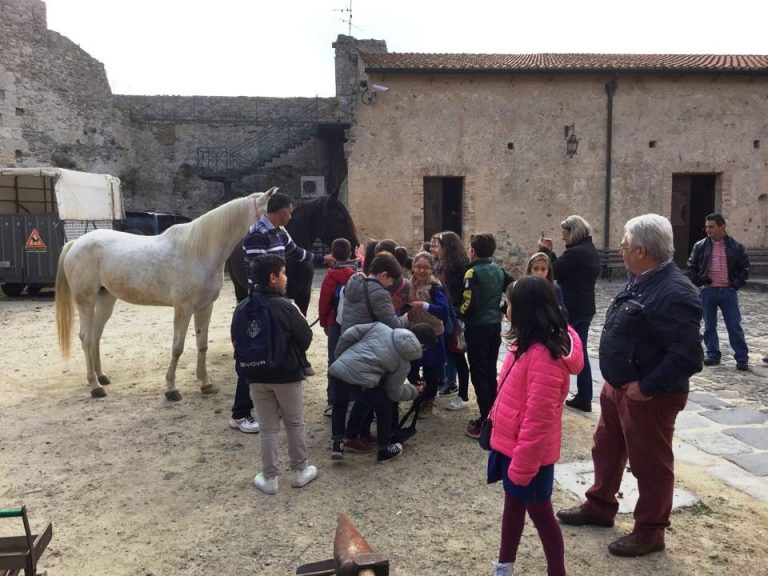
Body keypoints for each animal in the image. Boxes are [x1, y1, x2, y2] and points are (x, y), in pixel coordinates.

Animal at [57, 187, 280, 398]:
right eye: (269, 217)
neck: (199, 251)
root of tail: (75, 243)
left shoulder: (205, 307)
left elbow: (202, 345)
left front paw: (205, 384)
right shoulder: (183, 308)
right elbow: (177, 347)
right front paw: (171, 389)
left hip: (105, 299)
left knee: (96, 335)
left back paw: (102, 377)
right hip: (85, 301)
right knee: (86, 338)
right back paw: (95, 386)